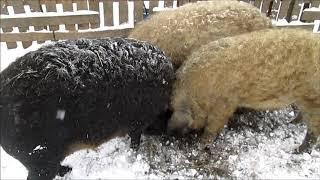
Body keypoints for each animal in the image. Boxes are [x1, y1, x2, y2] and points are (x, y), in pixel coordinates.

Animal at [168, 29, 320, 152]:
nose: (170, 131)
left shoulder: (225, 103)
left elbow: (214, 125)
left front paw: (201, 143)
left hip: (313, 98)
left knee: (314, 130)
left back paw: (296, 150)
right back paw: (291, 123)